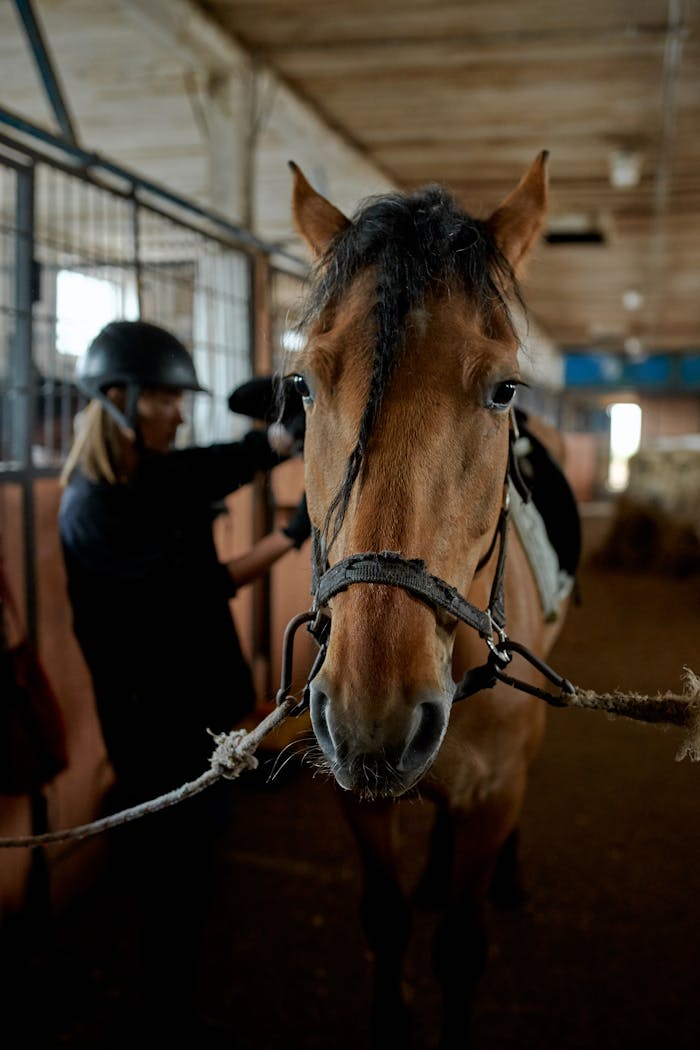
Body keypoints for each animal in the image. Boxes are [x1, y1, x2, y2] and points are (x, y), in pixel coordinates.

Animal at [284, 153, 580, 1049]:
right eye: (301, 385)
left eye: (506, 389)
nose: (371, 717)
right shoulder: (354, 800)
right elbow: (385, 920)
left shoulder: (498, 790)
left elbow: (460, 945)